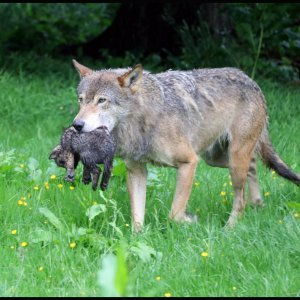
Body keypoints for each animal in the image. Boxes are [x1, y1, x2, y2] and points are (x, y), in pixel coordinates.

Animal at [71, 59, 300, 231]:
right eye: (81, 100)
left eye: (102, 100)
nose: (77, 125)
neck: (141, 120)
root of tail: (252, 81)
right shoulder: (136, 170)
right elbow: (137, 217)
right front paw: (135, 242)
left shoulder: (189, 162)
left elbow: (174, 214)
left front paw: (192, 220)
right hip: (217, 160)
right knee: (253, 167)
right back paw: (258, 204)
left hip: (231, 162)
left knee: (240, 199)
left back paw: (229, 228)